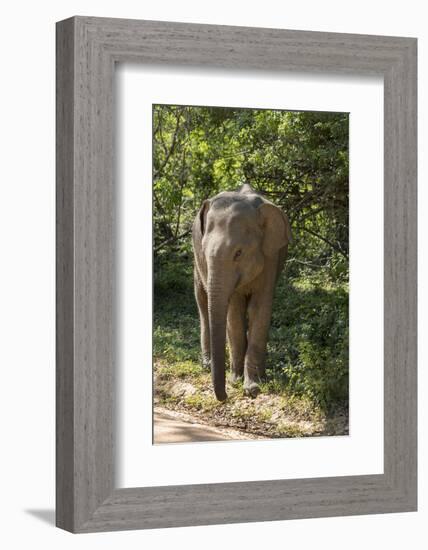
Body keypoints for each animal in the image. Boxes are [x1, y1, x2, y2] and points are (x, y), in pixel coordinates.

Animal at [193, 183, 290, 404]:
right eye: (205, 252)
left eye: (238, 253)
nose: (225, 397)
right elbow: (234, 311)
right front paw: (236, 381)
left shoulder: (270, 256)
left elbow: (259, 308)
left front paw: (253, 387)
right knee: (202, 300)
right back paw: (207, 364)